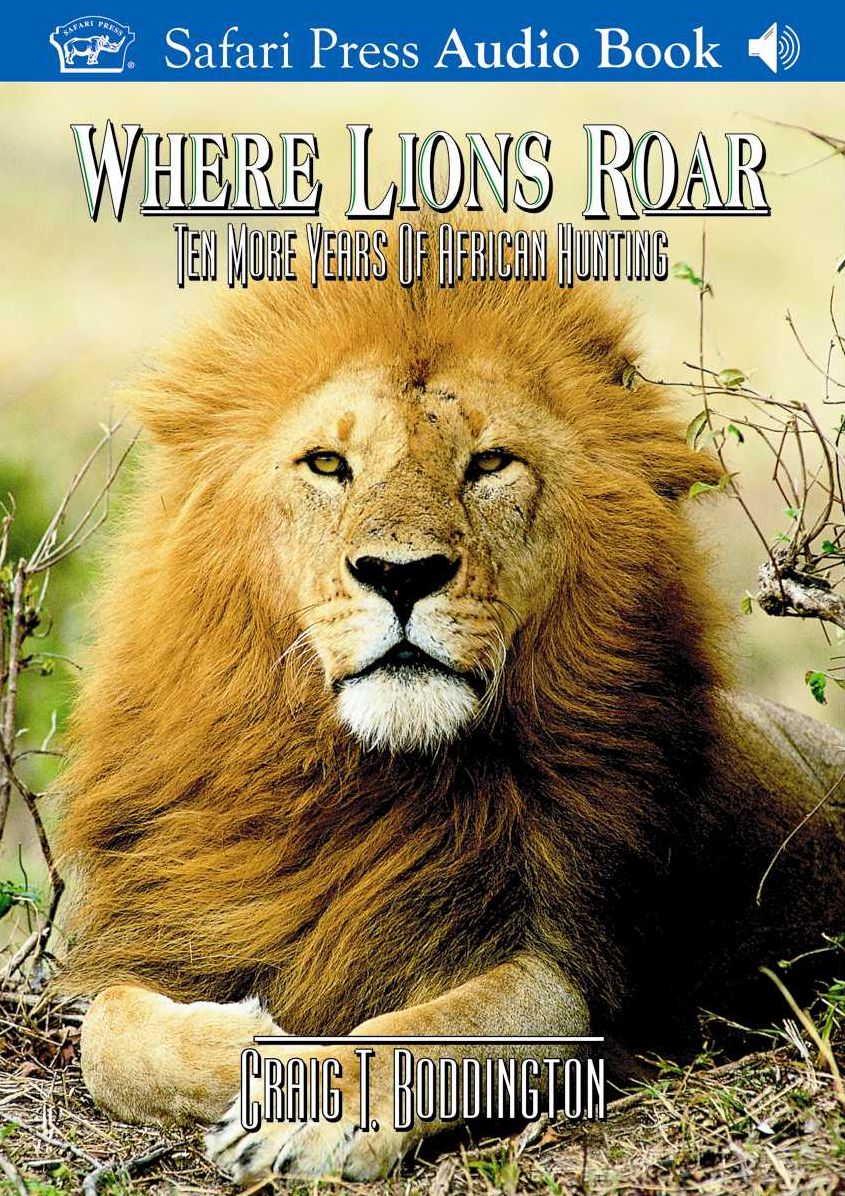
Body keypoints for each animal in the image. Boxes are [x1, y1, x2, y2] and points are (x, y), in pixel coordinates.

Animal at [59, 251, 844, 1185]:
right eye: (327, 464)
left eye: (490, 463)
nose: (401, 574)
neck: (368, 778)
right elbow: (105, 1032)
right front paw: (257, 1042)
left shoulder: (560, 969)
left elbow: (420, 1034)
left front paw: (309, 1113)